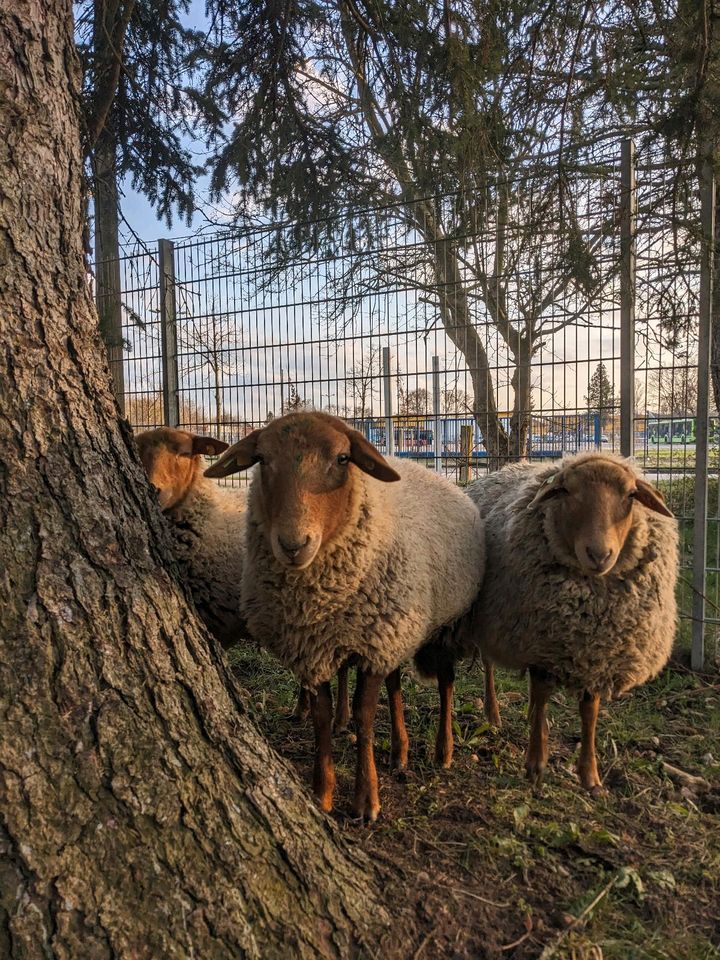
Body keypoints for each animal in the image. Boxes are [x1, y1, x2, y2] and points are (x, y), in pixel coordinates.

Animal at [135, 428, 352, 728]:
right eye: (137, 451)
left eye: (184, 452)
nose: (154, 490)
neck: (208, 519)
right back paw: (302, 709)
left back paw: (340, 718)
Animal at [202, 408, 486, 820]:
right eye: (263, 460)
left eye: (341, 459)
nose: (293, 545)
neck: (315, 597)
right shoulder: (317, 647)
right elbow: (321, 719)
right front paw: (322, 793)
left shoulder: (374, 641)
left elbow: (365, 718)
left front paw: (366, 799)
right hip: (392, 631)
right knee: (395, 684)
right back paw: (399, 752)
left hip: (439, 624)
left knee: (446, 683)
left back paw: (443, 750)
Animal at [458, 450, 676, 796]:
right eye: (566, 491)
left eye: (631, 495)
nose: (599, 555)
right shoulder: (541, 644)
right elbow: (542, 695)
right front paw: (536, 764)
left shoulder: (596, 656)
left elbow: (590, 711)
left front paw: (590, 776)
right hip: (493, 622)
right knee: (490, 666)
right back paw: (493, 714)